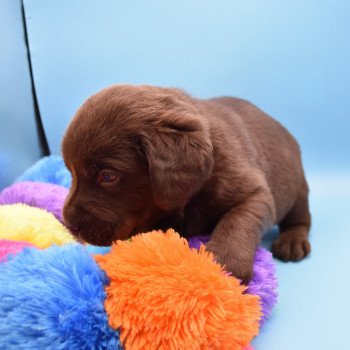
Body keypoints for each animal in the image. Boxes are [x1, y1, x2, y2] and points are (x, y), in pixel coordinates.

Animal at [61, 84, 310, 282]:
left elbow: (237, 221)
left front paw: (225, 263)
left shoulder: (255, 192)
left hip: (297, 190)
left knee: (301, 219)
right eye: (71, 172)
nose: (70, 225)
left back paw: (292, 241)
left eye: (108, 176)